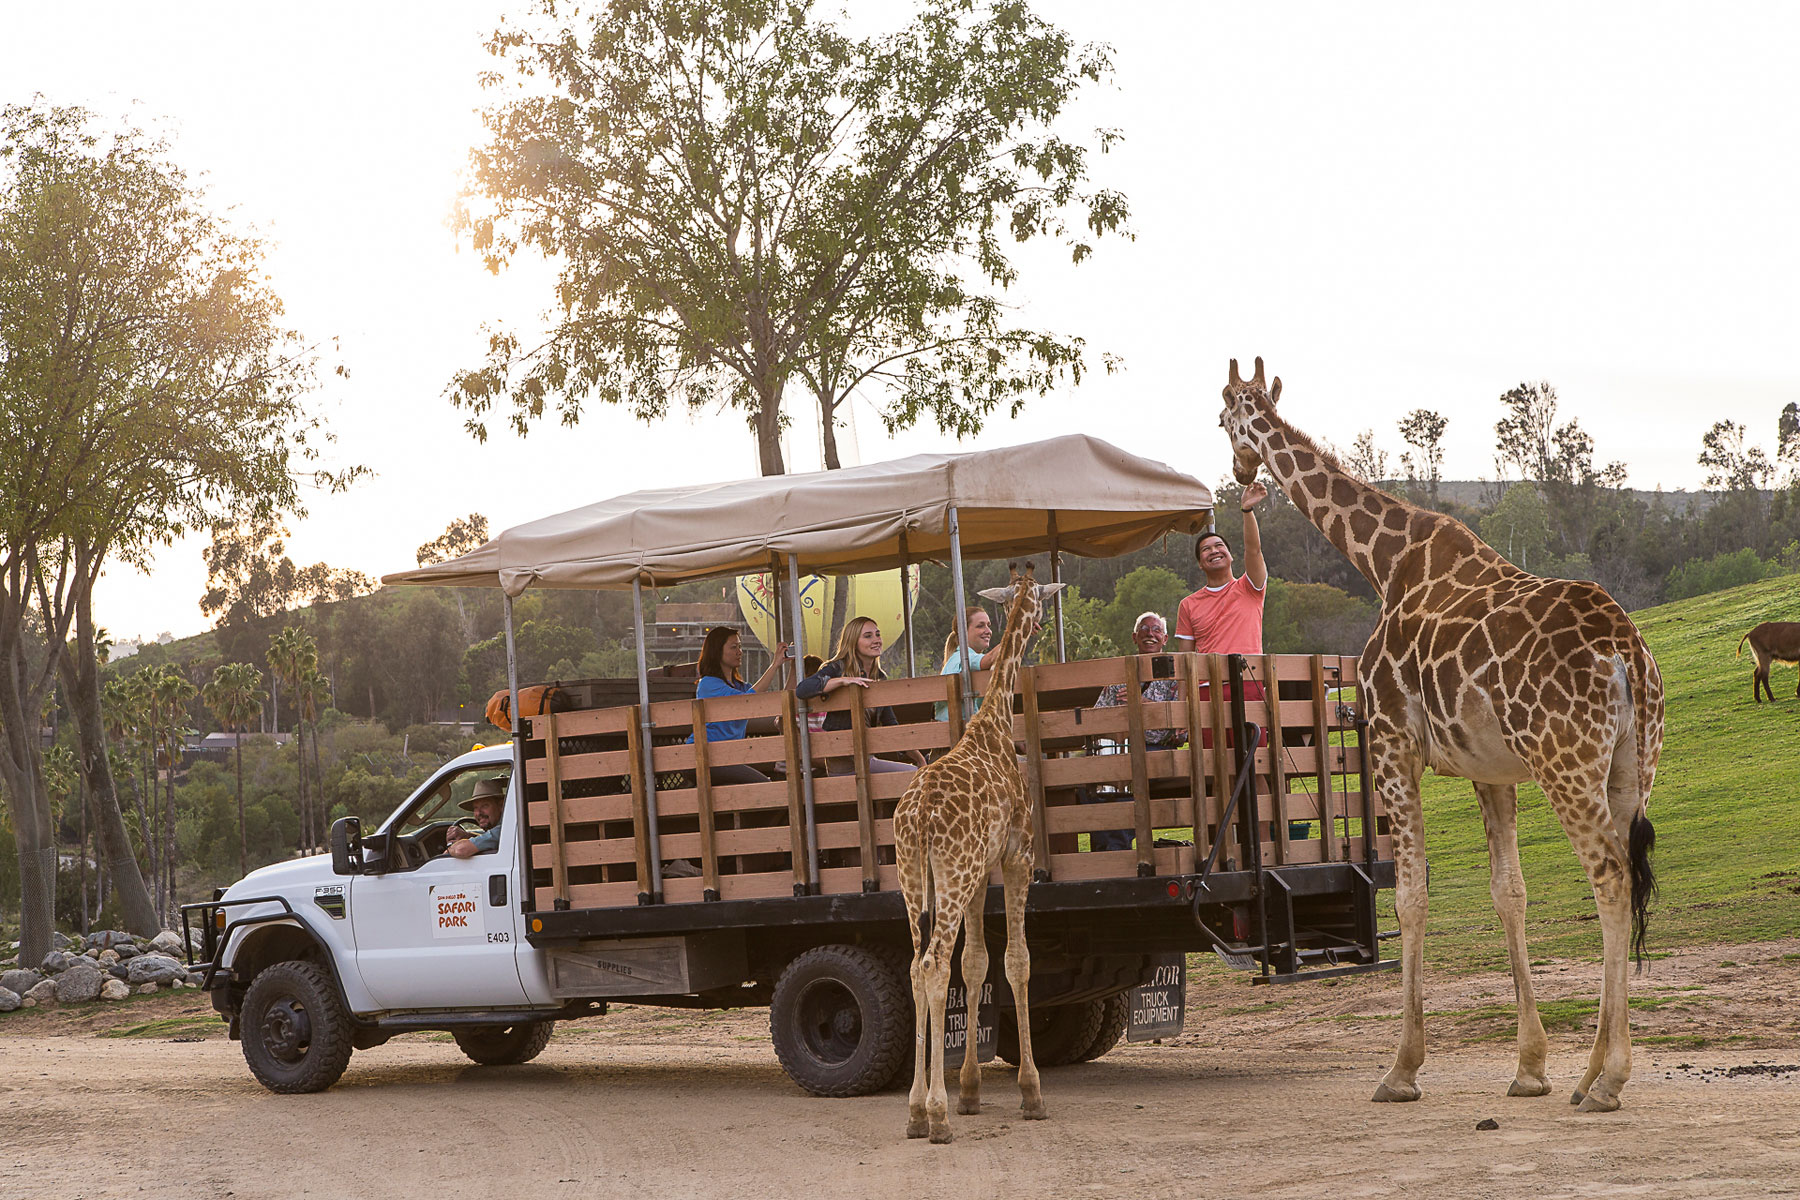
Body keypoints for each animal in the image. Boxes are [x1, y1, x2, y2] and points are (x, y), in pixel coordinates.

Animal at [896, 564, 1058, 1144]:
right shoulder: (1015, 857)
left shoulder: (978, 873)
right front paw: (1031, 1092)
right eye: (1038, 600)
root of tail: (920, 814)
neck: (995, 722)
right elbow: (1016, 961)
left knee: (917, 965)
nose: (1040, 624)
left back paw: (917, 1111)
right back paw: (936, 1116)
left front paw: (969, 1090)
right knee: (934, 963)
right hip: (949, 874)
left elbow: (976, 964)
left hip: (914, 879)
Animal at [1216, 359, 1663, 1115]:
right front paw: (1532, 1067)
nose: (1240, 471)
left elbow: (1409, 895)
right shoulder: (1489, 768)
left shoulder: (1391, 739)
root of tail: (1624, 650)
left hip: (1566, 763)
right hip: (1633, 766)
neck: (1383, 559)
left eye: (1221, 418)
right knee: (1626, 873)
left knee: (1608, 874)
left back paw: (1611, 1080)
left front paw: (1402, 1069)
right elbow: (1509, 892)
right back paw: (1587, 1076)